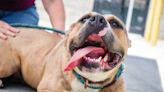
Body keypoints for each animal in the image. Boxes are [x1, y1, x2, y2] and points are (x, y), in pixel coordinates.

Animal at [0, 12, 131, 92]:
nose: (98, 19)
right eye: (84, 19)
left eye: (115, 23)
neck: (88, 80)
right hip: (9, 65)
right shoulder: (48, 88)